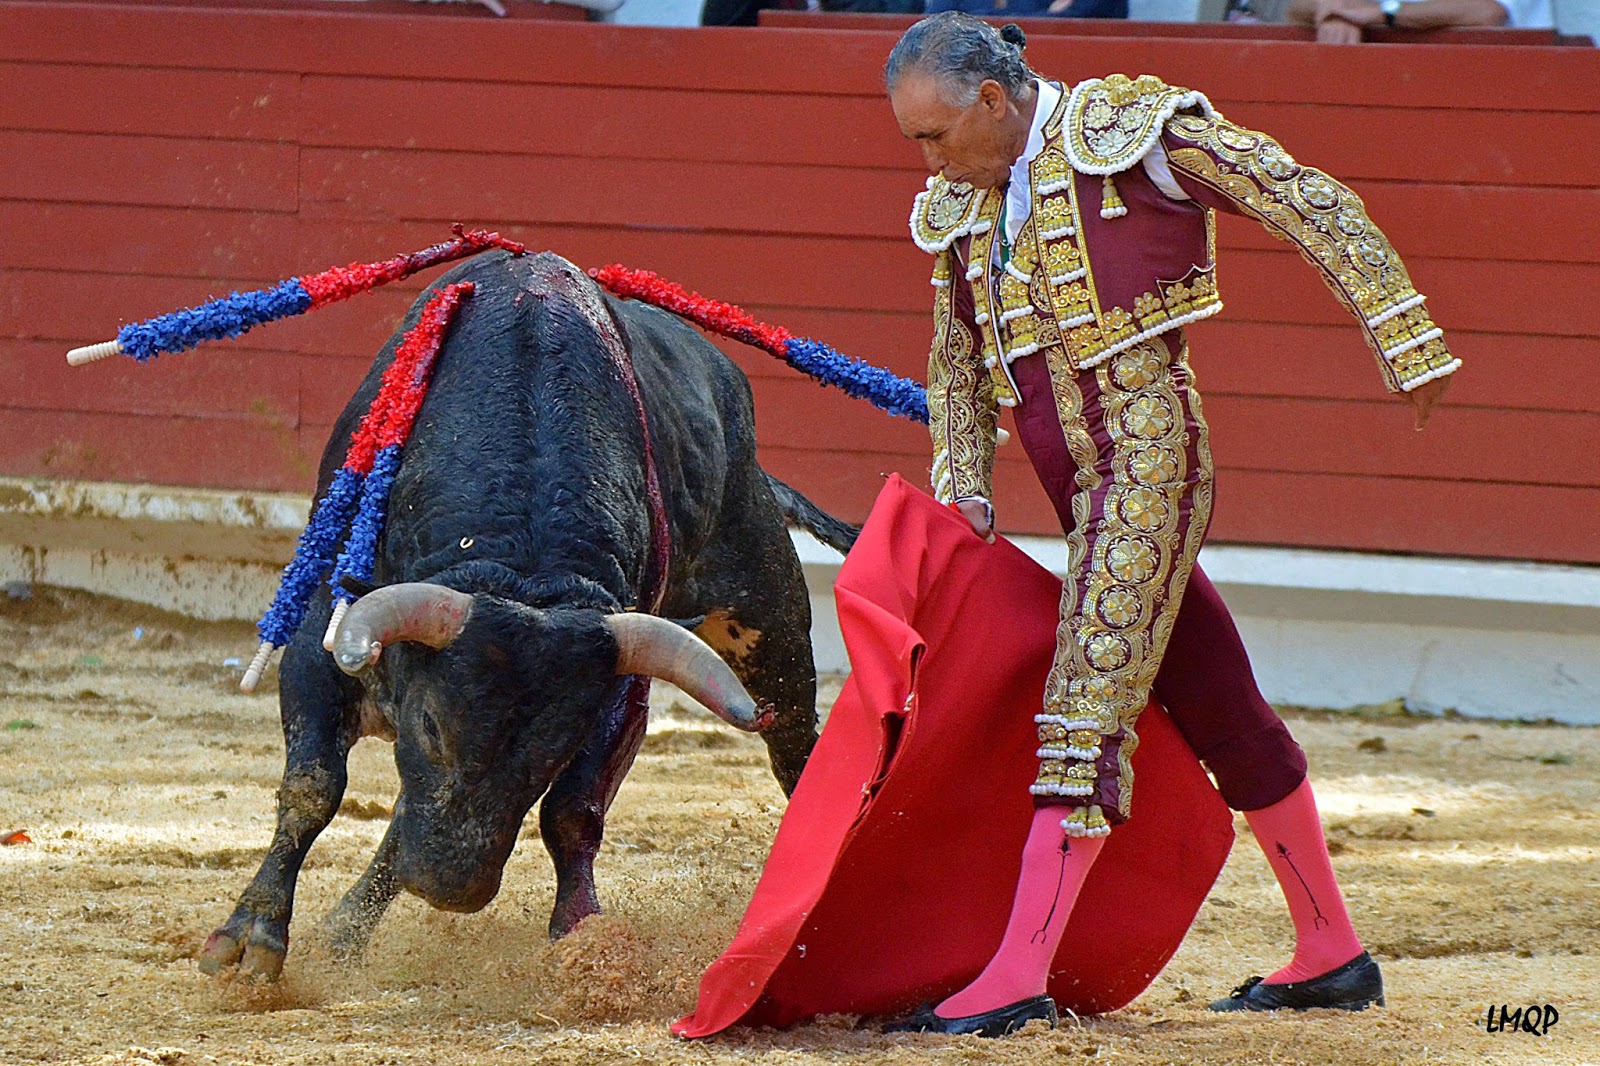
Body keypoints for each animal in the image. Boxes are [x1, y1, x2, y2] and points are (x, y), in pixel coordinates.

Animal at [201, 251, 864, 979]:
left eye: (555, 748)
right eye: (430, 726)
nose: (449, 887)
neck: (521, 564)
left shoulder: (619, 692)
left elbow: (572, 813)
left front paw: (581, 938)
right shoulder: (324, 641)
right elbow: (314, 786)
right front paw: (250, 938)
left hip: (769, 619)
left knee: (795, 744)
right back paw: (342, 934)